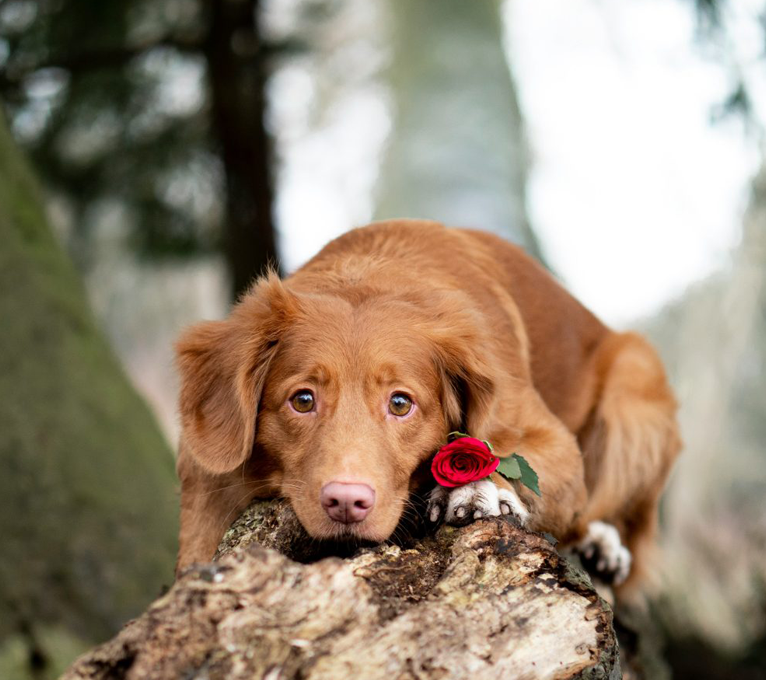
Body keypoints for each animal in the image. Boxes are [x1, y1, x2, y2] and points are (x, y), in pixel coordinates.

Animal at [176, 219, 684, 596]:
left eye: (401, 403)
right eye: (303, 400)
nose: (346, 502)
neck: (369, 272)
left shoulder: (555, 441)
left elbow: (507, 456)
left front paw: (479, 488)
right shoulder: (209, 473)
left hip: (636, 384)